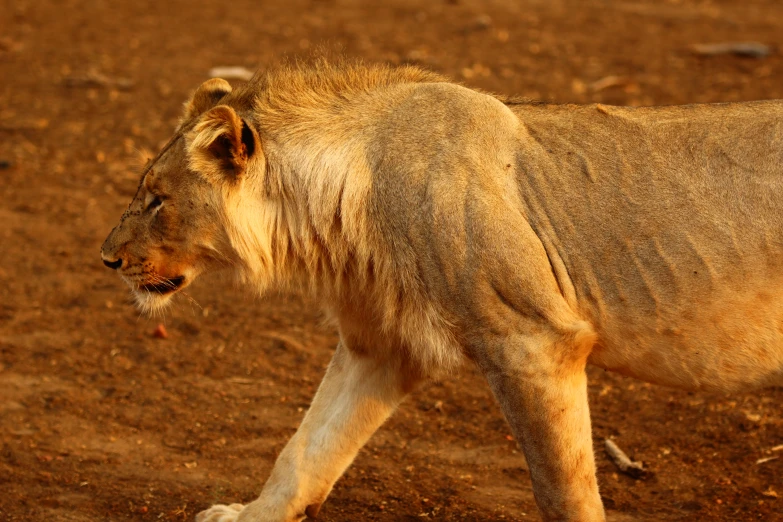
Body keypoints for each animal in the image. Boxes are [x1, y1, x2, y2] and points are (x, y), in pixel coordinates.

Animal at [101, 59, 783, 516]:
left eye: (158, 199)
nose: (106, 257)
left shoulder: (534, 343)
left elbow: (562, 491)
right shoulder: (383, 347)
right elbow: (305, 451)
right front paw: (247, 515)